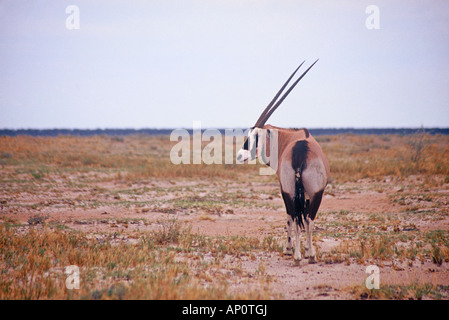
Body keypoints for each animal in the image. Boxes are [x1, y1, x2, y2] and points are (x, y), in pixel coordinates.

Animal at [234, 60, 328, 264]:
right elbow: (297, 217)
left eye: (256, 136)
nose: (240, 155)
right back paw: (305, 256)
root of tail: (300, 151)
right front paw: (297, 249)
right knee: (304, 218)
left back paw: (301, 255)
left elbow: (294, 216)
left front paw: (295, 249)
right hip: (310, 192)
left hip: (297, 190)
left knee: (299, 217)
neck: (289, 138)